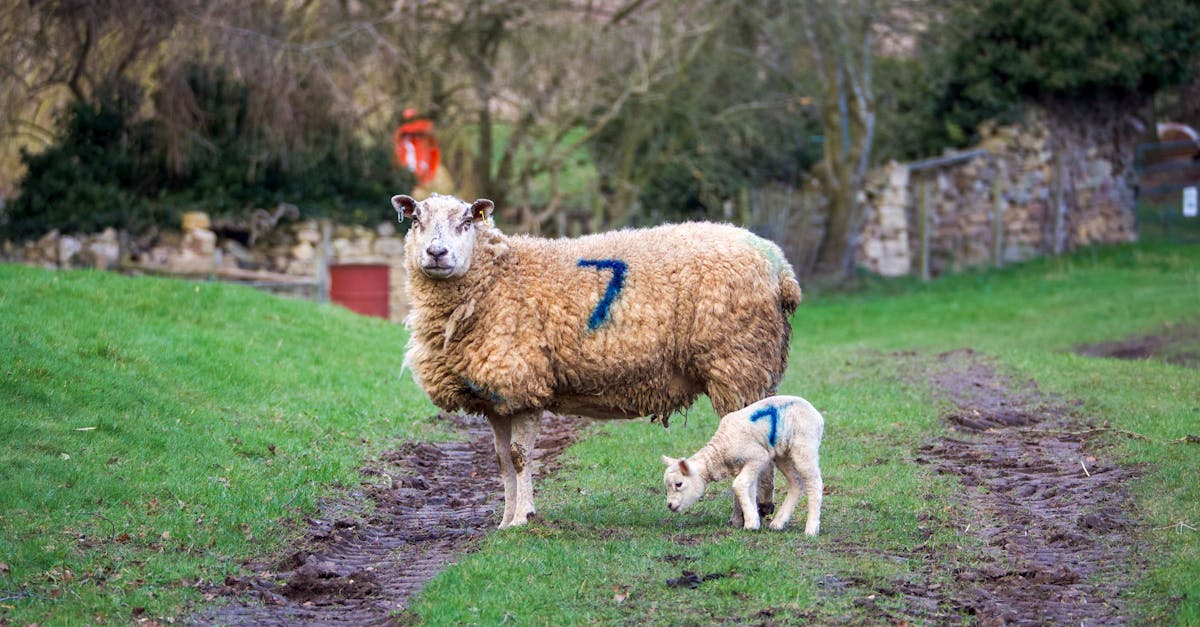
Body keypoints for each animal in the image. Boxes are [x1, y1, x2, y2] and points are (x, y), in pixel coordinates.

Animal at [391, 193, 802, 529]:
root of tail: (781, 267)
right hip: (757, 367)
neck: (497, 277)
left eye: (466, 221)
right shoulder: (496, 396)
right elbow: (502, 460)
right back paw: (762, 507)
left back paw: (741, 515)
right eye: (416, 219)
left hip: (736, 363)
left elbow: (520, 458)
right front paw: (505, 521)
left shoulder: (524, 383)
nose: (437, 253)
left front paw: (523, 518)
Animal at [662, 395, 824, 534]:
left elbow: (738, 485)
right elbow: (749, 489)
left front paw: (751, 523)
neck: (720, 452)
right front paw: (753, 519)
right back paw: (778, 523)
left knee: (814, 482)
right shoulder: (745, 466)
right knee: (796, 483)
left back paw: (811, 529)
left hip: (805, 446)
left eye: (679, 484)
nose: (669, 505)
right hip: (782, 454)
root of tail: (818, 416)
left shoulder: (758, 457)